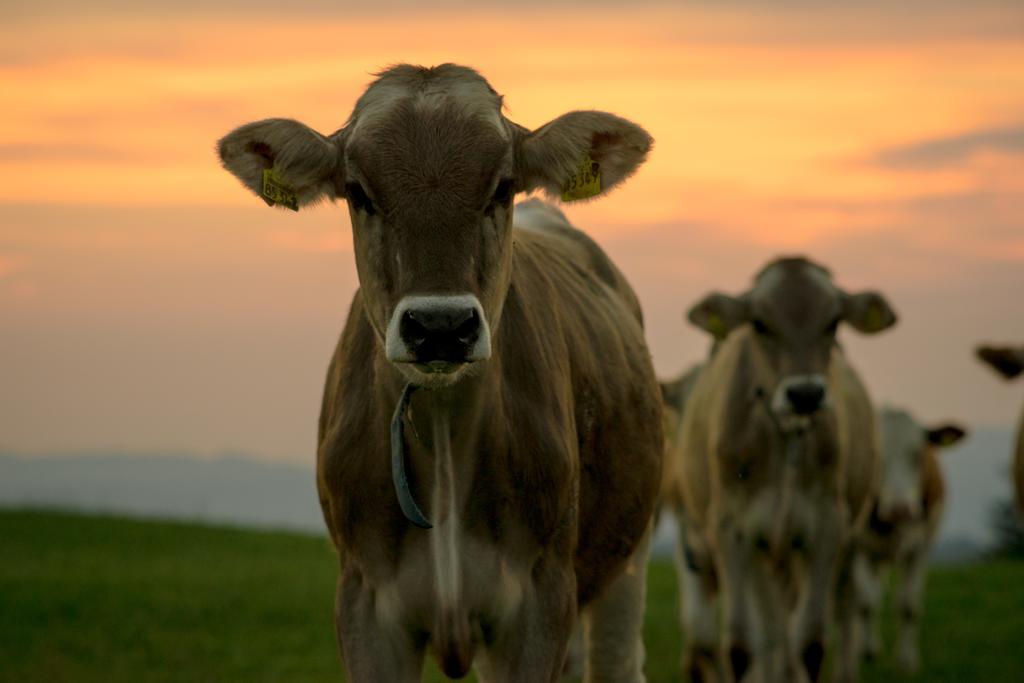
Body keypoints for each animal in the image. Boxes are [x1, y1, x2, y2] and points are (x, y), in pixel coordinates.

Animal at [217, 61, 663, 679]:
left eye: (501, 186)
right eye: (359, 192)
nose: (440, 325)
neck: (445, 432)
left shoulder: (540, 601)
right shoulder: (364, 602)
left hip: (627, 557)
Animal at [847, 405, 966, 671]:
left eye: (917, 454)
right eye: (876, 456)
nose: (900, 509)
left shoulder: (920, 549)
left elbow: (909, 606)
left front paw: (907, 661)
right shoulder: (859, 546)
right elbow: (864, 603)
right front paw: (862, 652)